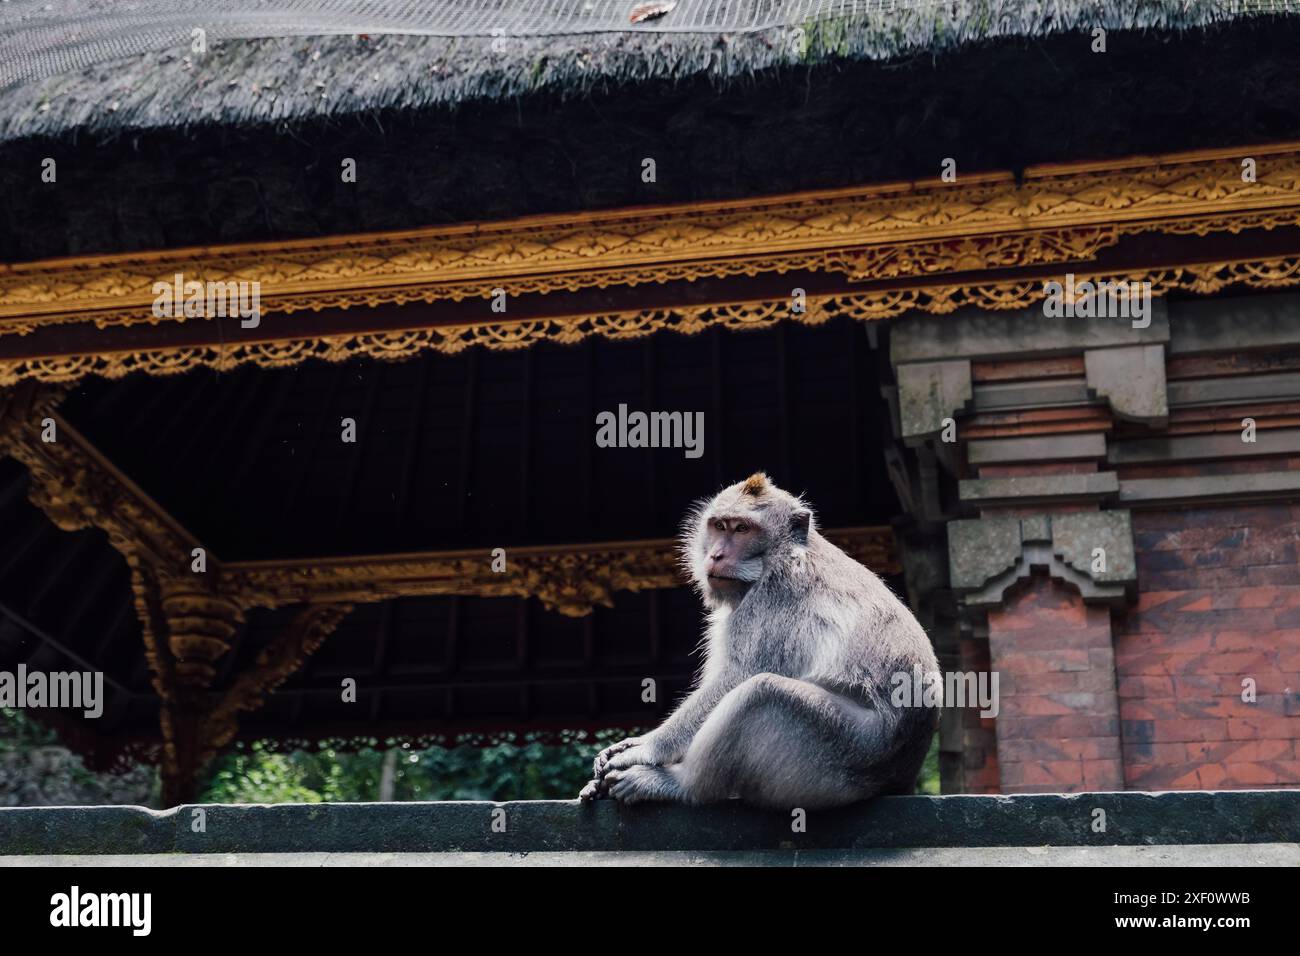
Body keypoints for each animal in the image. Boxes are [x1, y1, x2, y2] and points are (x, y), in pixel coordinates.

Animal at [579, 470, 935, 806]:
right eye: (720, 526)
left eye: (742, 530)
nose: (717, 555)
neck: (779, 555)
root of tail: (900, 776)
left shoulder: (773, 599)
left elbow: (738, 676)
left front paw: (646, 748)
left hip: (847, 750)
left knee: (761, 693)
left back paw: (680, 784)